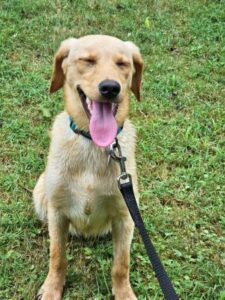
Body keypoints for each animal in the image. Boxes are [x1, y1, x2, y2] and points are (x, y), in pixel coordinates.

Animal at [32, 35, 143, 300]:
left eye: (123, 64)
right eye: (87, 60)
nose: (110, 88)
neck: (92, 143)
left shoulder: (125, 216)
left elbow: (121, 265)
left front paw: (123, 293)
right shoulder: (57, 212)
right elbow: (57, 257)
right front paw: (52, 288)